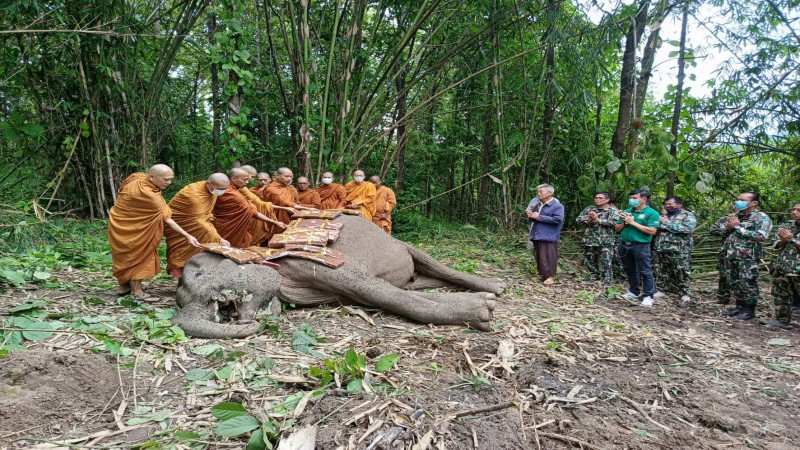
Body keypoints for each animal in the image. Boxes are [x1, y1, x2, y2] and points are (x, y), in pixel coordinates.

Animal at [172, 214, 504, 338]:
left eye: (197, 272)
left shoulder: (320, 263)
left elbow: (379, 292)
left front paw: (484, 310)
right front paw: (484, 306)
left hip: (398, 242)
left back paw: (496, 288)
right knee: (418, 279)